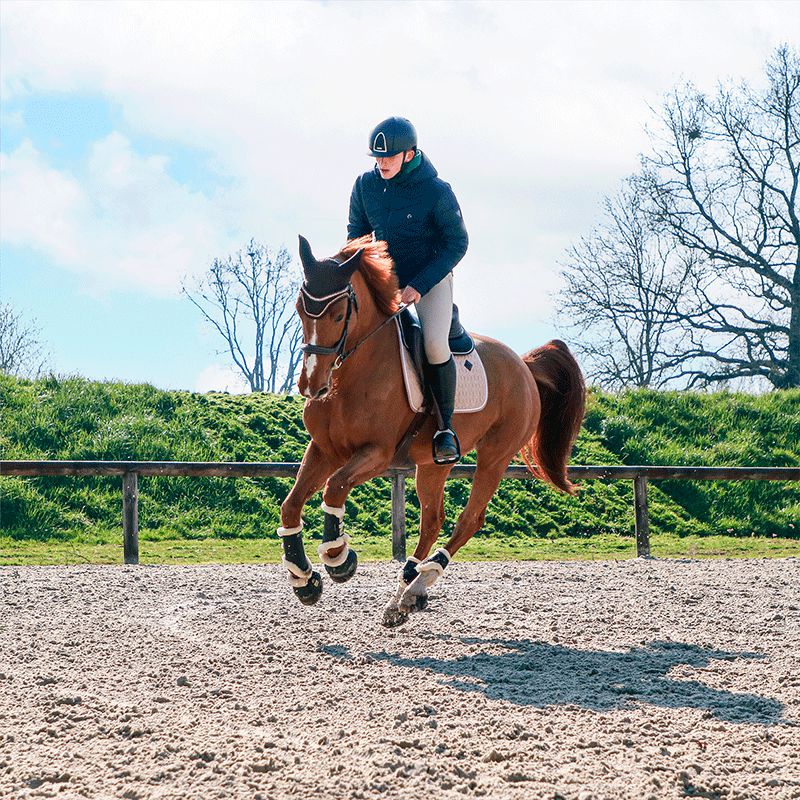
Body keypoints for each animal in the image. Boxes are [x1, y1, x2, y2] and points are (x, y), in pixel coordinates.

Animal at [278, 234, 584, 628]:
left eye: (338, 313)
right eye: (301, 309)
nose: (312, 386)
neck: (351, 376)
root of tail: (523, 363)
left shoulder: (377, 453)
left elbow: (335, 488)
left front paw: (338, 558)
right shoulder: (325, 449)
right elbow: (291, 505)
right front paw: (304, 578)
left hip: (494, 457)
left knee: (469, 519)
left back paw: (420, 583)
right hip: (433, 464)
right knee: (432, 519)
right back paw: (405, 593)